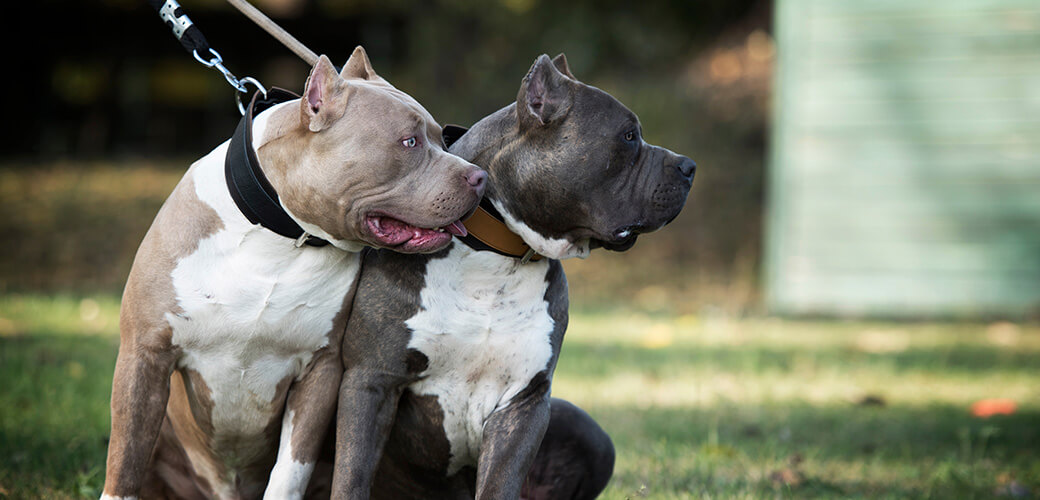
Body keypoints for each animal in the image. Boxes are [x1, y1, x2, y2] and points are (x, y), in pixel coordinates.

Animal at [99, 44, 484, 496]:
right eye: (409, 142)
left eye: (442, 138)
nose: (480, 176)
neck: (275, 240)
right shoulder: (145, 354)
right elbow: (125, 462)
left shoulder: (320, 371)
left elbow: (289, 473)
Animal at [328, 52, 694, 496]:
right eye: (627, 137)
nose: (690, 166)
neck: (495, 259)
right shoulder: (371, 382)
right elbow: (351, 476)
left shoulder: (525, 403)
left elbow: (499, 484)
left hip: (589, 434)